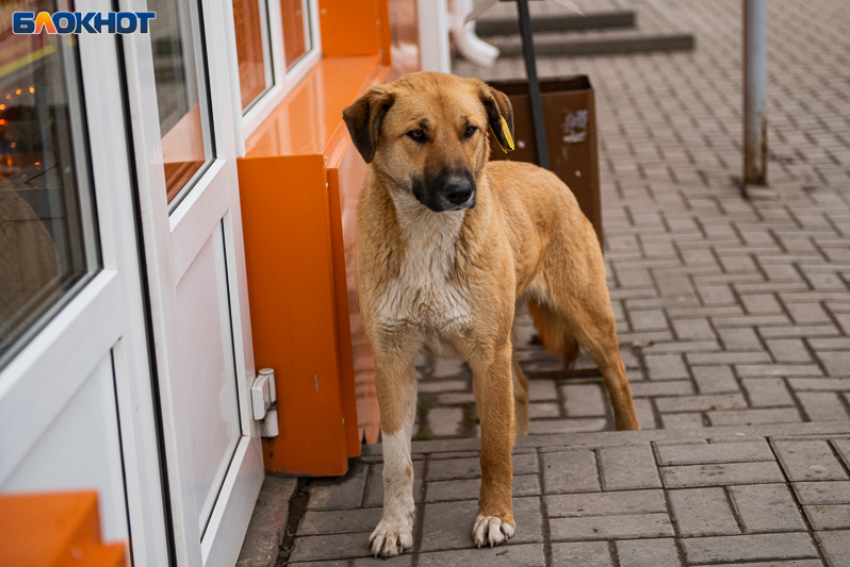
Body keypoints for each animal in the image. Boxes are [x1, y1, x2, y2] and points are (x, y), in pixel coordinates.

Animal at [342, 71, 640, 560]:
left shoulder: (487, 354)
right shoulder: (394, 360)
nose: (462, 191)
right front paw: (394, 525)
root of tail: (544, 171)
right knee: (522, 388)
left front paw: (496, 515)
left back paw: (629, 435)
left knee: (617, 378)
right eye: (417, 134)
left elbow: (494, 448)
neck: (429, 233)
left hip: (585, 316)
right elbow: (395, 460)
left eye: (471, 130)